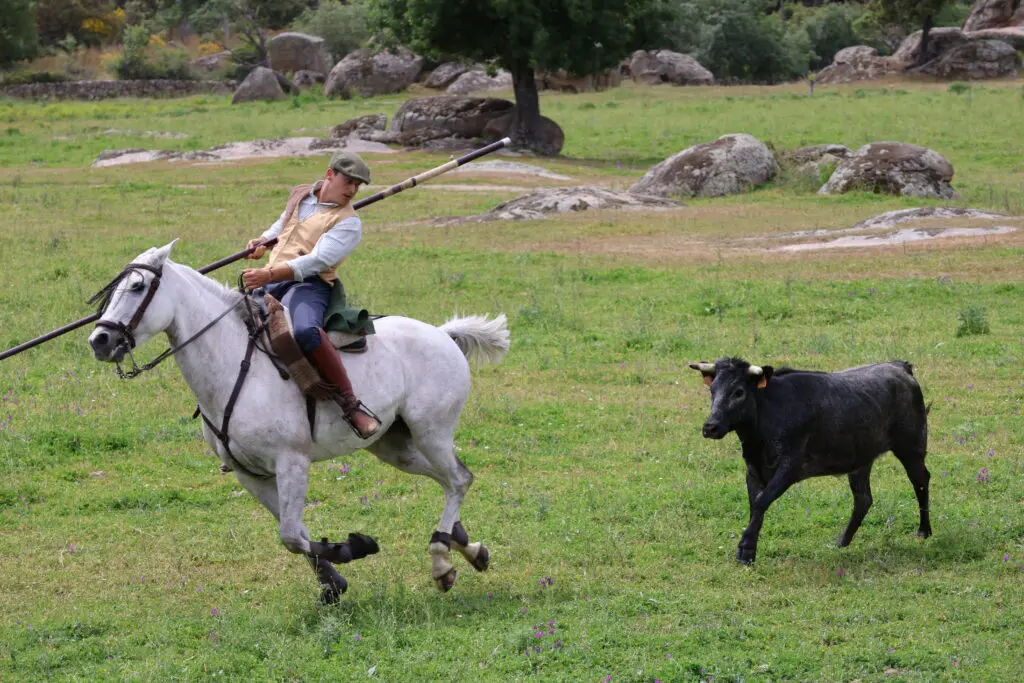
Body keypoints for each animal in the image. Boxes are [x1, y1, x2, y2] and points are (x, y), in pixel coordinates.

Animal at [86, 244, 509, 602]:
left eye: (138, 287)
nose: (100, 340)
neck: (236, 366)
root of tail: (442, 334)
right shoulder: (250, 475)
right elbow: (296, 532)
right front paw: (333, 581)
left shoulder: (291, 463)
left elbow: (291, 534)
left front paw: (353, 548)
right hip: (394, 446)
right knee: (450, 480)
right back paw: (467, 549)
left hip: (431, 432)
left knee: (459, 479)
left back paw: (441, 558)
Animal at [692, 358, 933, 565]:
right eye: (712, 390)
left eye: (739, 392)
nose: (710, 427)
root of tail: (900, 367)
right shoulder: (753, 468)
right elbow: (755, 505)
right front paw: (749, 552)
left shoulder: (791, 466)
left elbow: (761, 501)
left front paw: (744, 550)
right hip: (861, 459)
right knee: (863, 499)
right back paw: (842, 542)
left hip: (911, 447)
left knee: (921, 480)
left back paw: (924, 531)